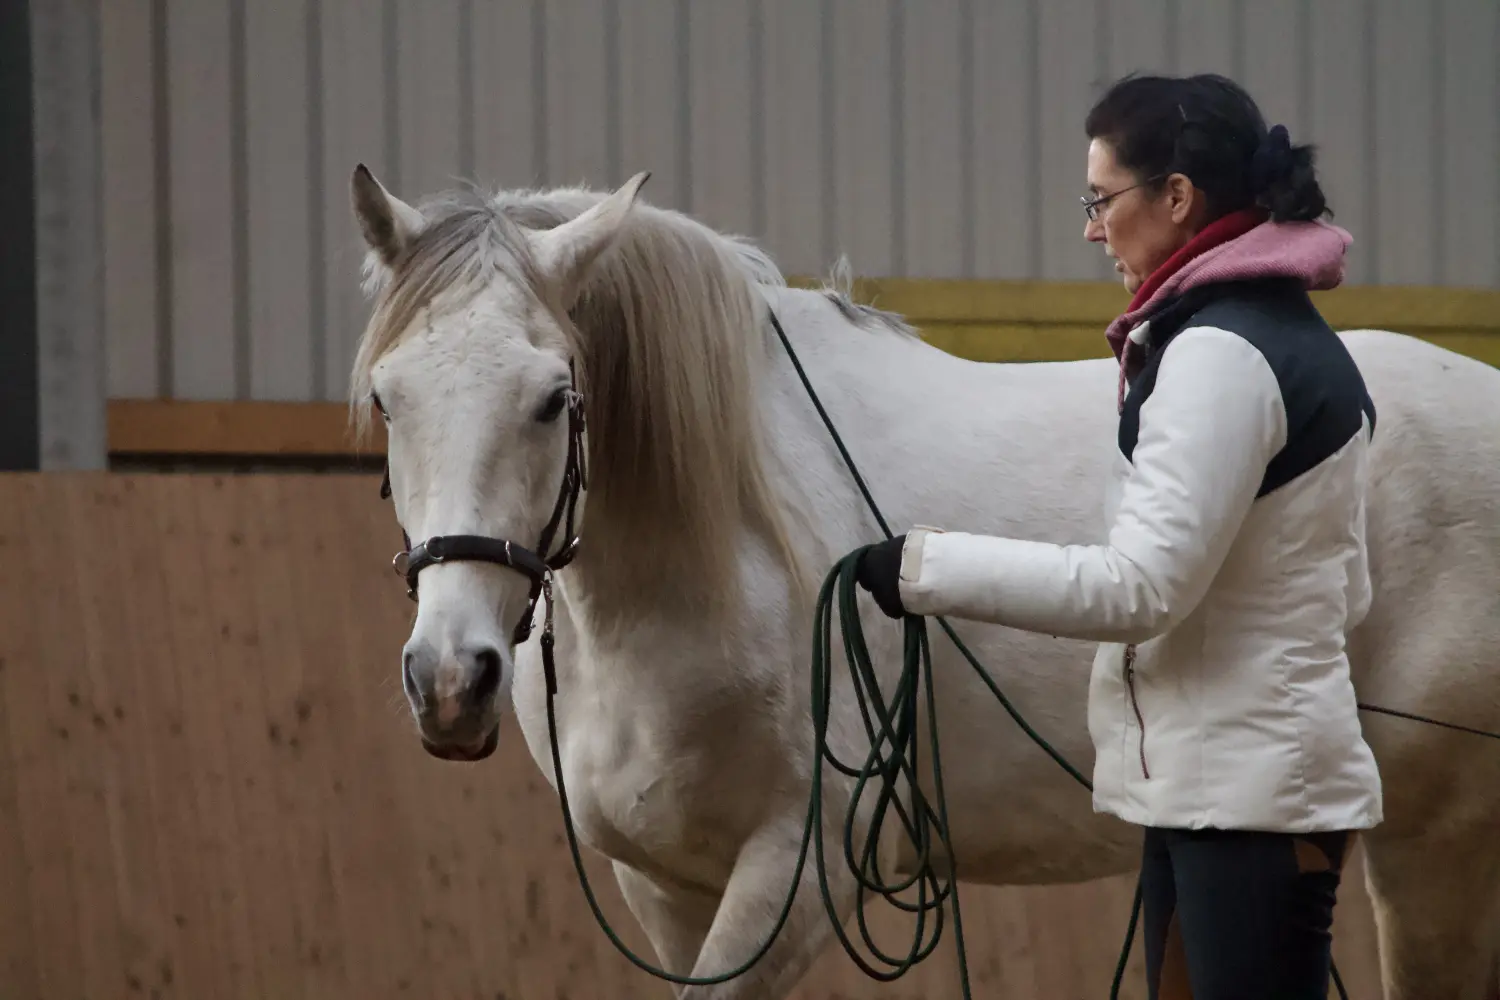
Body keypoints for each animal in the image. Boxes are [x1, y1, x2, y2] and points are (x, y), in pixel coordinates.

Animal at [345, 167, 1500, 995]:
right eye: (389, 398)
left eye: (554, 398)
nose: (449, 681)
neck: (714, 558)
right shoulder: (665, 887)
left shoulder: (800, 876)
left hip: (1430, 853)